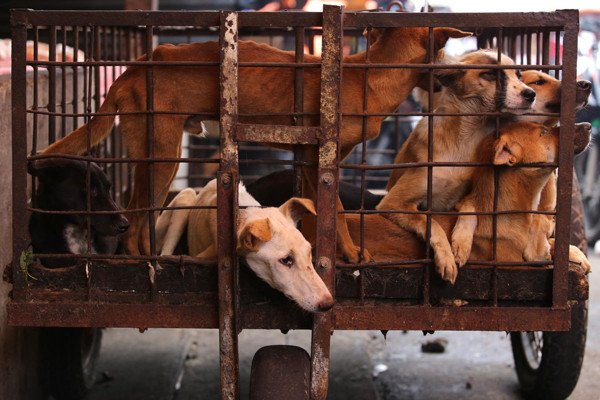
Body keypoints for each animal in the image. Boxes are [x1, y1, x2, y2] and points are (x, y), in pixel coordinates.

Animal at [37, 26, 472, 260]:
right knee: (132, 218)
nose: (448, 79)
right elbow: (336, 211)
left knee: (141, 215)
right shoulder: (322, 160)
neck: (365, 77)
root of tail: (134, 66)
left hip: (160, 159)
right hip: (161, 152)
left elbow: (316, 212)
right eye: (444, 52)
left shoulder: (309, 162)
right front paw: (350, 254)